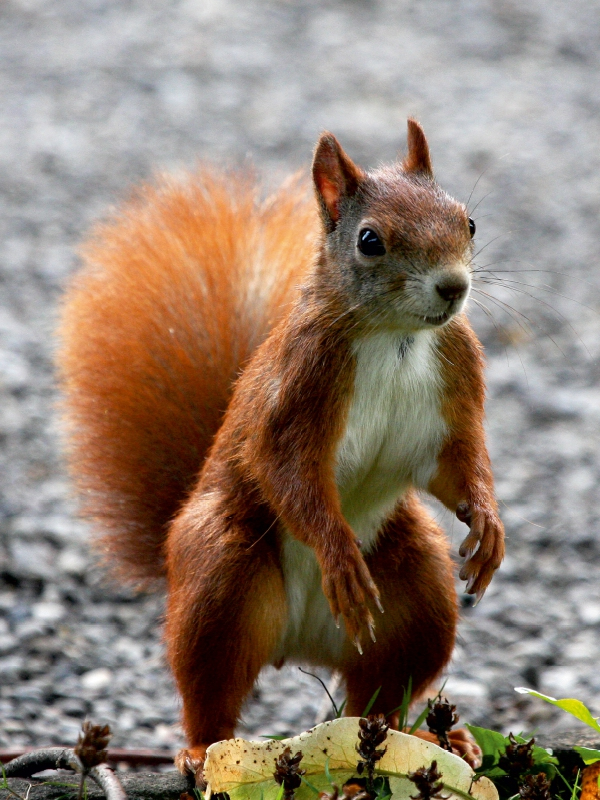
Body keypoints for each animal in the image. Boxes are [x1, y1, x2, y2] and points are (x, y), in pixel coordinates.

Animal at [57, 119, 504, 775]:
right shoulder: (297, 389)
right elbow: (286, 472)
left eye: (467, 222)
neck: (394, 334)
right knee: (212, 688)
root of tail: (301, 642)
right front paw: (338, 554)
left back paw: (429, 740)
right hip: (221, 577)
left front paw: (489, 525)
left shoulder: (456, 378)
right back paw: (202, 750)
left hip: (418, 590)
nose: (453, 287)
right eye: (369, 241)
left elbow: (459, 465)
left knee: (379, 695)